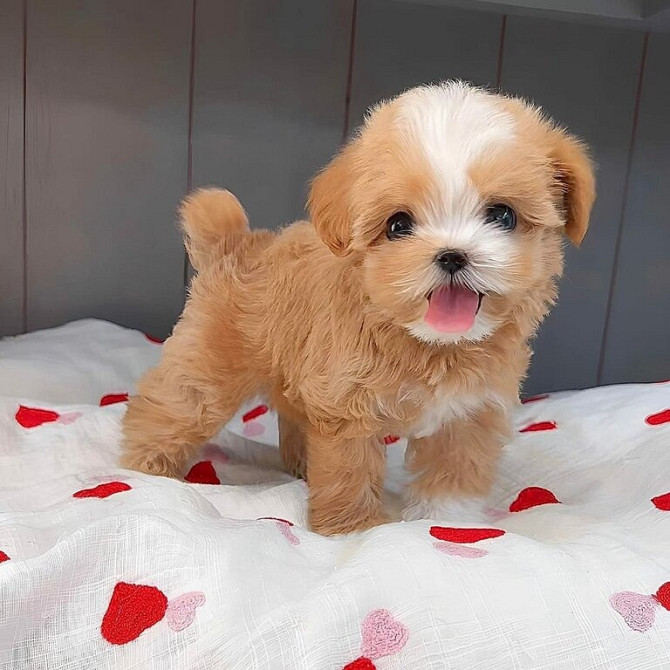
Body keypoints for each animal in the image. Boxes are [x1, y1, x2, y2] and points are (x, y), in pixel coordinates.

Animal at [122, 82, 600, 536]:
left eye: (503, 215)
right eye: (398, 225)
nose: (452, 255)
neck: (432, 343)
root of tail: (235, 243)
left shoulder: (468, 412)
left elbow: (453, 472)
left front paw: (444, 522)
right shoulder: (344, 404)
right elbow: (348, 468)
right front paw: (353, 528)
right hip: (209, 363)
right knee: (175, 405)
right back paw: (143, 468)